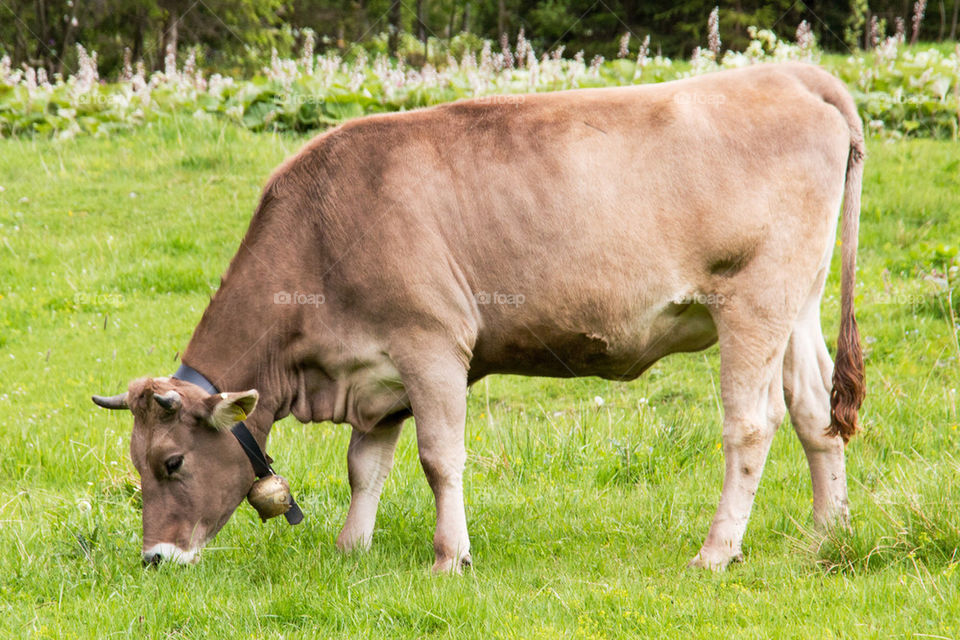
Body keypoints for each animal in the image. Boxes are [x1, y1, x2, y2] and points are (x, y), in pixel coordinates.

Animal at [94, 60, 868, 568]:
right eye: (137, 463)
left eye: (170, 462)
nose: (154, 557)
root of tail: (792, 74)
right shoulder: (376, 373)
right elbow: (364, 464)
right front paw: (351, 549)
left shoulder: (431, 346)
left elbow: (439, 458)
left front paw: (449, 558)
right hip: (798, 301)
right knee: (813, 410)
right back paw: (828, 533)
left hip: (754, 301)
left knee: (752, 424)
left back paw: (716, 551)